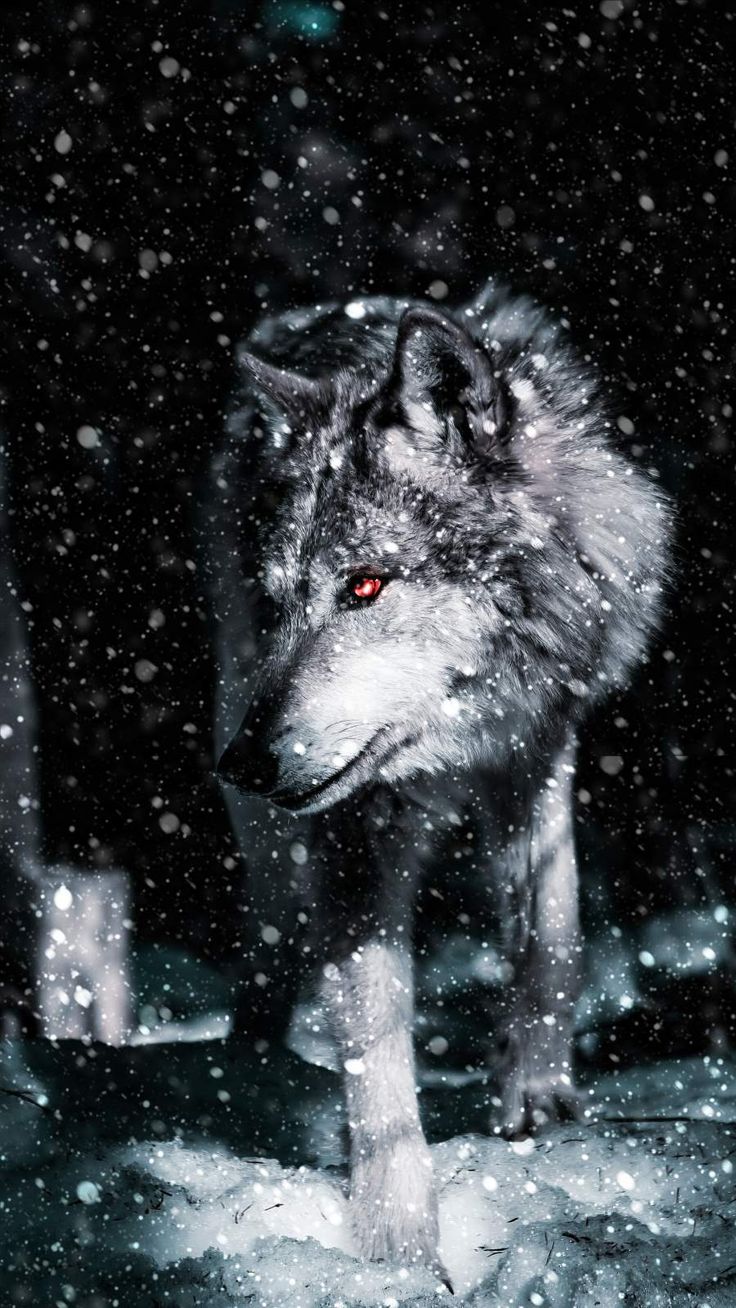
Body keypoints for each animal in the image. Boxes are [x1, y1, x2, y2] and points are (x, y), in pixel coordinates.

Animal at [204, 281, 671, 1280]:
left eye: (365, 586)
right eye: (282, 601)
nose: (244, 763)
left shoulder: (538, 748)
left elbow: (554, 934)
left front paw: (536, 1094)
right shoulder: (355, 823)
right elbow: (375, 1038)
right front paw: (396, 1240)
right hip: (252, 782)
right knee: (270, 930)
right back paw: (248, 1061)